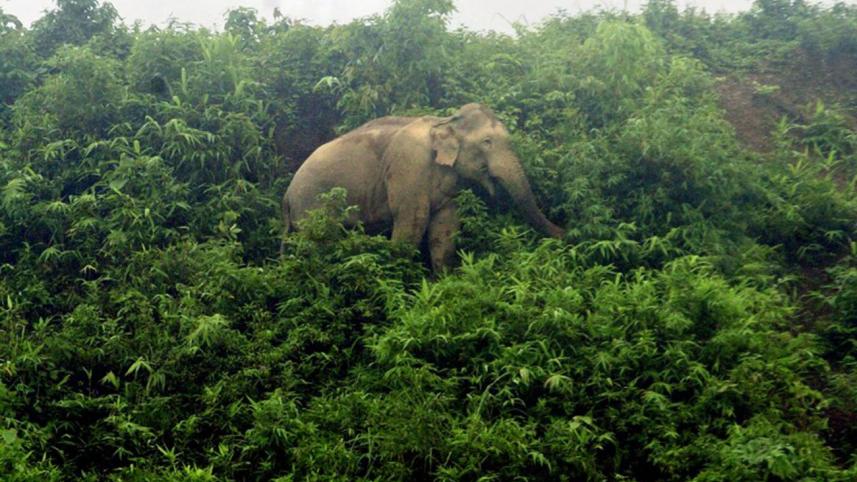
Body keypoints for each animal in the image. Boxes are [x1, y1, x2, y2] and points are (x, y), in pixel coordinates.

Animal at [282, 103, 564, 271]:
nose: (567, 233)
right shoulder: (408, 166)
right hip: (312, 207)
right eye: (487, 142)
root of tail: (286, 195)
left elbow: (445, 228)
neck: (445, 121)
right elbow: (412, 223)